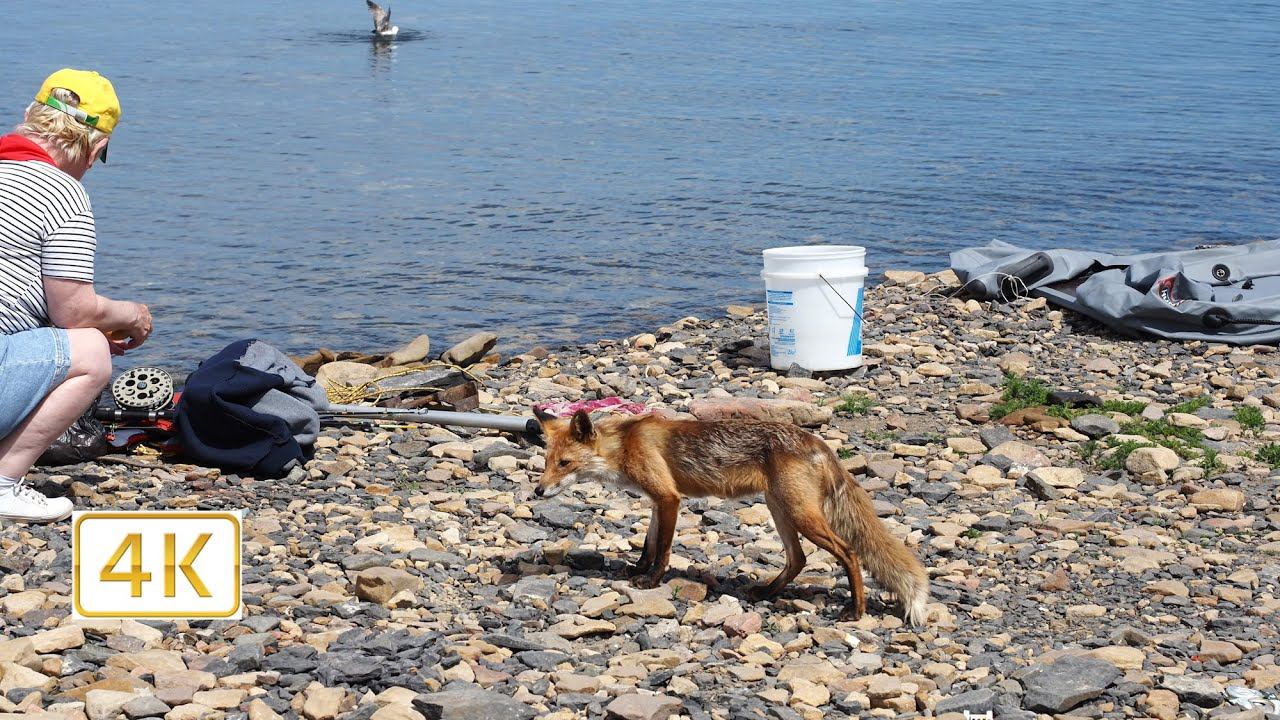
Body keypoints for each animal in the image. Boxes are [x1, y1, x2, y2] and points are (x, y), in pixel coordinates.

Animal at [529, 409, 931, 622]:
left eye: (564, 464)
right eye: (547, 462)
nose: (538, 492)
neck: (625, 445)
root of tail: (817, 442)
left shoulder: (669, 498)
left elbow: (663, 550)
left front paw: (652, 580)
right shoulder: (658, 501)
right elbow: (647, 543)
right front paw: (637, 570)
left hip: (800, 515)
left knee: (848, 552)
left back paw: (856, 610)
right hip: (780, 510)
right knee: (798, 559)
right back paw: (765, 592)